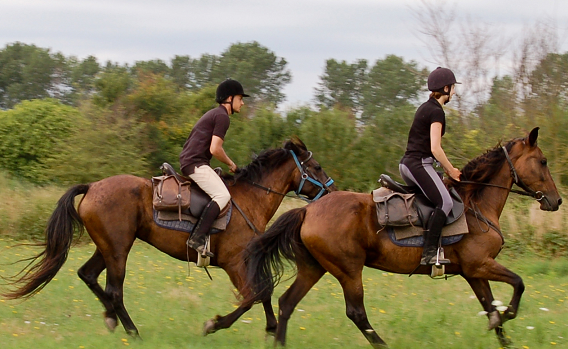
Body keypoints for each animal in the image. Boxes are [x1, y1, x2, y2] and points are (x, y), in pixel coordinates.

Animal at [2, 137, 336, 336]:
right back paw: (132, 331)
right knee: (114, 290)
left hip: (108, 246)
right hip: (119, 249)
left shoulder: (244, 261)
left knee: (88, 275)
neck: (251, 197)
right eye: (317, 166)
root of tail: (93, 186)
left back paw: (111, 318)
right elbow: (252, 295)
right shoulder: (234, 263)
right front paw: (213, 325)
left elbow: (262, 292)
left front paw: (271, 328)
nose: (331, 192)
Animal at [240, 128, 560, 346]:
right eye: (543, 161)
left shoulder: (474, 272)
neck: (476, 205)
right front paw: (506, 314)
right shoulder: (480, 265)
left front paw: (500, 327)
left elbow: (491, 305)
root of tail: (308, 210)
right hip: (348, 270)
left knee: (287, 303)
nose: (556, 202)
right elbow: (518, 285)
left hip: (314, 267)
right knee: (356, 313)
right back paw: (382, 344)